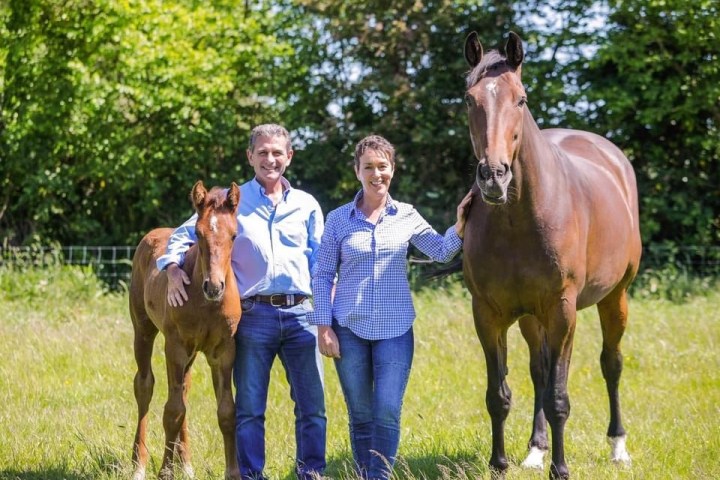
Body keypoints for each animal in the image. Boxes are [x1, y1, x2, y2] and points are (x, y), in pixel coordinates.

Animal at [129, 180, 242, 480]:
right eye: (198, 234)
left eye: (234, 235)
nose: (214, 287)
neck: (207, 305)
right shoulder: (176, 348)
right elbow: (172, 411)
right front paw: (166, 472)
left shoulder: (223, 352)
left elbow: (227, 412)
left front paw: (233, 472)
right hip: (143, 331)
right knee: (145, 386)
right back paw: (138, 465)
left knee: (184, 390)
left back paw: (187, 464)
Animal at [461, 31, 641, 479]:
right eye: (470, 99)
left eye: (521, 99)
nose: (494, 176)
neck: (518, 218)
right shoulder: (488, 314)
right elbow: (499, 395)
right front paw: (500, 464)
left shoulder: (562, 310)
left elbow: (559, 398)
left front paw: (560, 468)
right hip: (532, 318)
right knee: (540, 372)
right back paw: (535, 449)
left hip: (614, 297)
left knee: (611, 363)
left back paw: (618, 446)